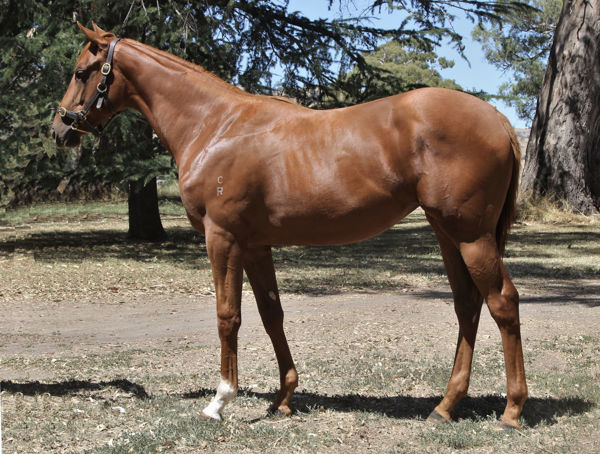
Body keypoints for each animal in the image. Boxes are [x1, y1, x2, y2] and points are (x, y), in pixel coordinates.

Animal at [54, 24, 528, 430]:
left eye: (81, 72)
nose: (60, 127)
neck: (215, 125)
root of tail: (499, 120)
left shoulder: (222, 238)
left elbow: (228, 315)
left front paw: (220, 401)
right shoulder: (255, 245)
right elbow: (271, 315)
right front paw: (283, 399)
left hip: (470, 236)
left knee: (502, 302)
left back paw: (512, 410)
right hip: (448, 233)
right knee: (467, 304)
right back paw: (445, 406)